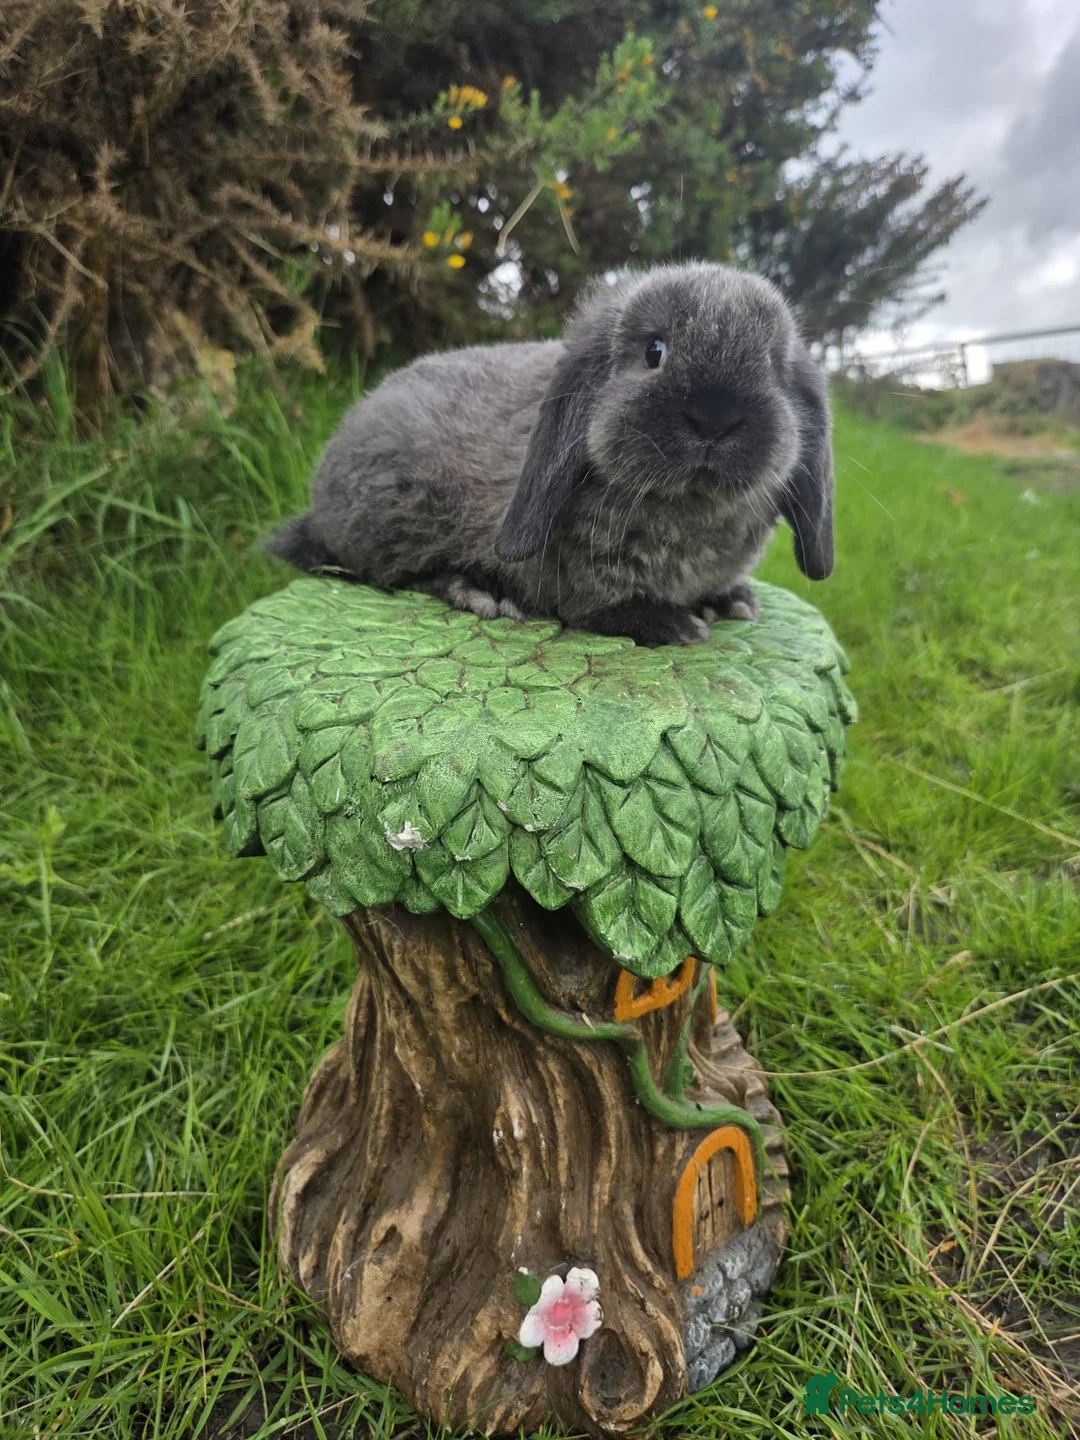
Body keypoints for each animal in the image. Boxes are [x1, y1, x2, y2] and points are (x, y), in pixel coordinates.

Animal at [267, 260, 834, 647]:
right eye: (654, 351)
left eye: (772, 366)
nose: (715, 416)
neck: (688, 508)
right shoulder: (581, 572)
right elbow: (596, 603)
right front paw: (670, 624)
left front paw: (732, 599)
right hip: (403, 515)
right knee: (395, 573)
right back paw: (480, 591)